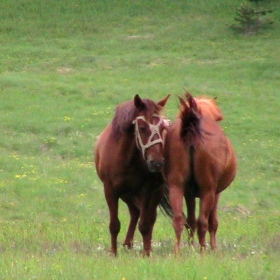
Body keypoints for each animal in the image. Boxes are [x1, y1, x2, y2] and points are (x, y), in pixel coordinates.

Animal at [94, 94, 170, 256]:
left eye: (162, 128)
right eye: (142, 128)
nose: (157, 162)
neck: (125, 157)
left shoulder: (146, 190)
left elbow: (145, 224)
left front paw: (146, 253)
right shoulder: (110, 190)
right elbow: (114, 224)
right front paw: (113, 253)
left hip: (155, 191)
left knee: (149, 217)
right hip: (126, 193)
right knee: (135, 211)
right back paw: (127, 243)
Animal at [162, 92, 236, 254]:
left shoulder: (188, 193)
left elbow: (190, 221)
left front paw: (190, 246)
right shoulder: (215, 192)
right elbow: (212, 222)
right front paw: (214, 248)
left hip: (176, 186)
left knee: (179, 219)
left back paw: (178, 252)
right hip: (207, 190)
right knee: (203, 221)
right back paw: (203, 251)